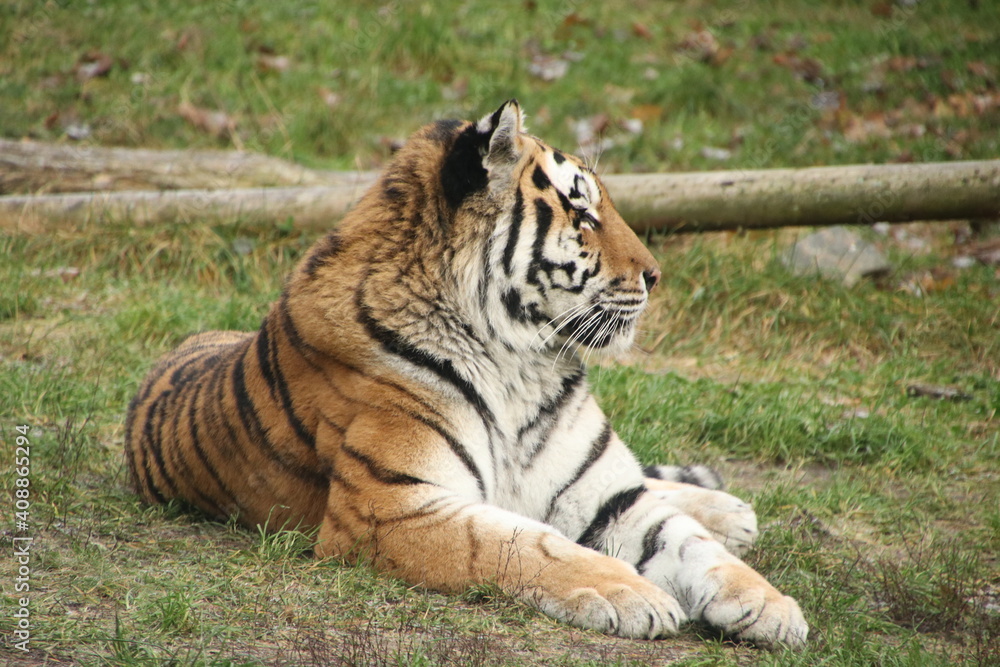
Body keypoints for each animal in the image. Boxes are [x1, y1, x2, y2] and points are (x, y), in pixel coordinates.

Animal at [125, 100, 807, 648]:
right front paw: (632, 594)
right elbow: (525, 542)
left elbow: (689, 543)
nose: (656, 275)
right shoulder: (391, 506)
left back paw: (727, 511)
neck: (521, 361)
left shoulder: (608, 496)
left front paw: (770, 605)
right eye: (583, 215)